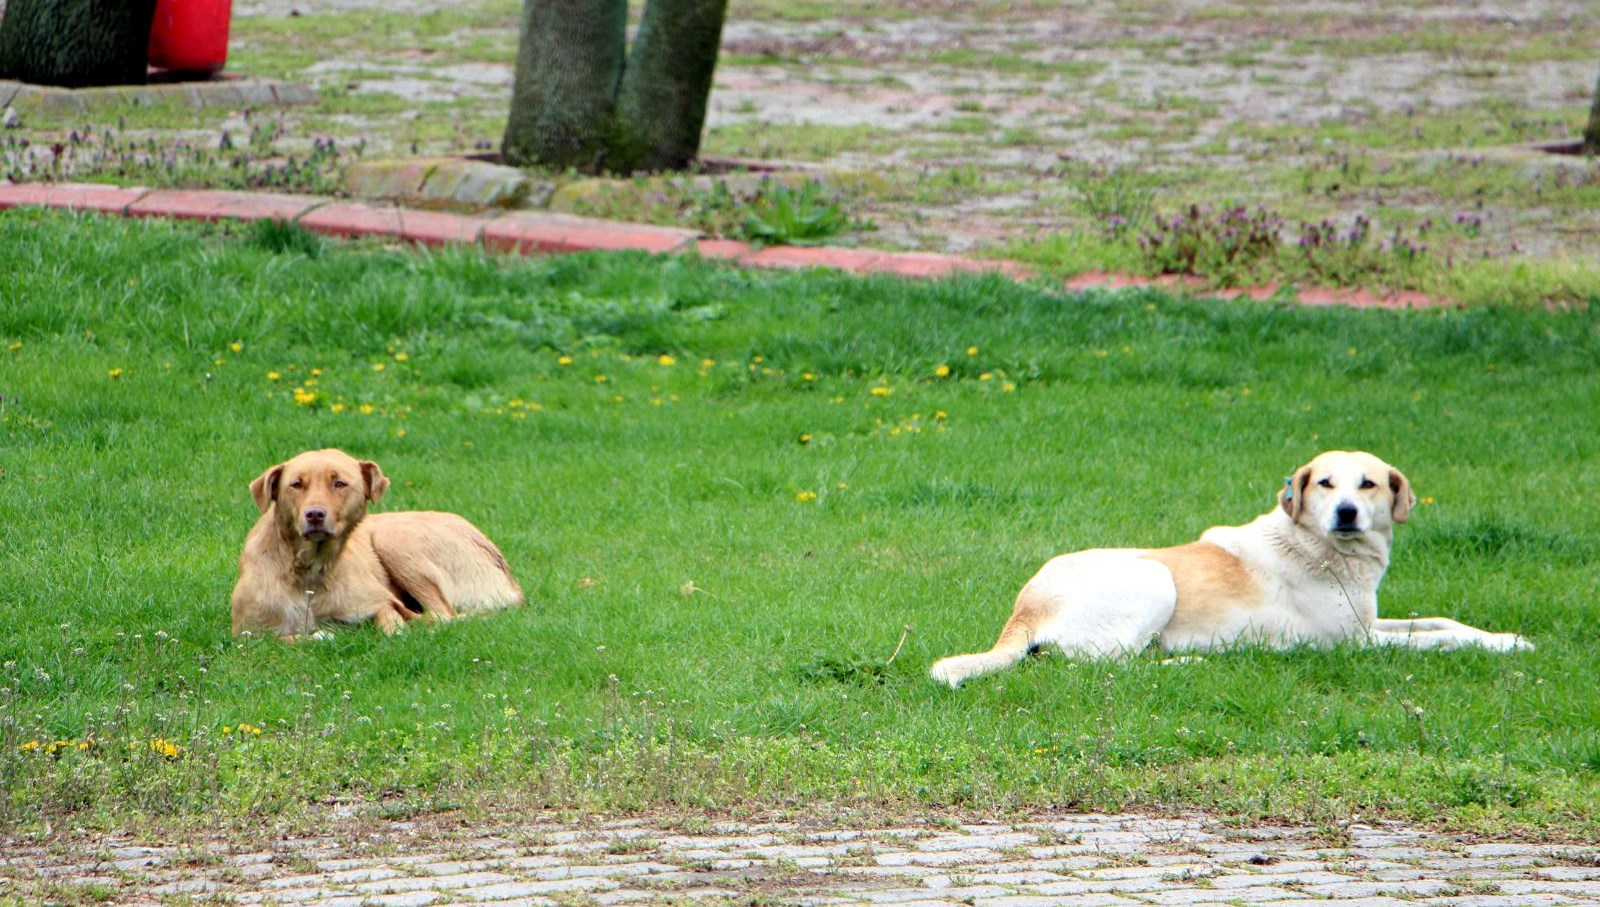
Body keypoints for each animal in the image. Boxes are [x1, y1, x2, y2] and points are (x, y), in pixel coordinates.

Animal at [232, 447, 524, 639]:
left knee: (442, 615)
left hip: (394, 539)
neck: (309, 574)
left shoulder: (381, 604)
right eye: (296, 484)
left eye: (339, 483)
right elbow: (286, 638)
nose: (314, 515)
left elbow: (391, 627)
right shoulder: (246, 634)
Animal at [934, 451, 1529, 684]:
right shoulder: (1354, 643)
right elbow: (1437, 639)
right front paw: (1499, 646)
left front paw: (1509, 637)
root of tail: (1024, 607)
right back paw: (1198, 661)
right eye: (1325, 483)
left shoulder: (1369, 623)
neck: (1316, 546)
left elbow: (1440, 622)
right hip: (1154, 577)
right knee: (1108, 666)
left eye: (1369, 484)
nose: (1346, 512)